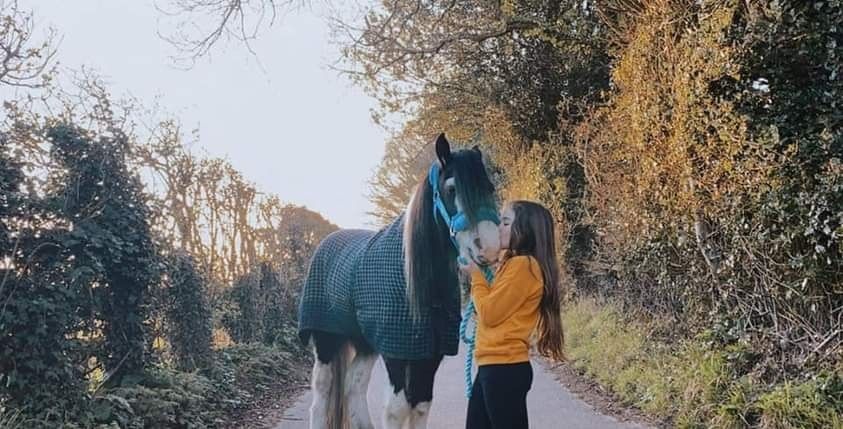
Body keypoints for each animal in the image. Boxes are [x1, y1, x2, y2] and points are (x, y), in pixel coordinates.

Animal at [298, 132, 502, 426]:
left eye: (489, 187)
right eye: (452, 189)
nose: (488, 246)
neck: (418, 284)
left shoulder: (429, 353)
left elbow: (420, 404)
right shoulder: (396, 350)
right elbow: (397, 408)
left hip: (364, 343)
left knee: (354, 385)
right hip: (326, 341)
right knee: (321, 396)